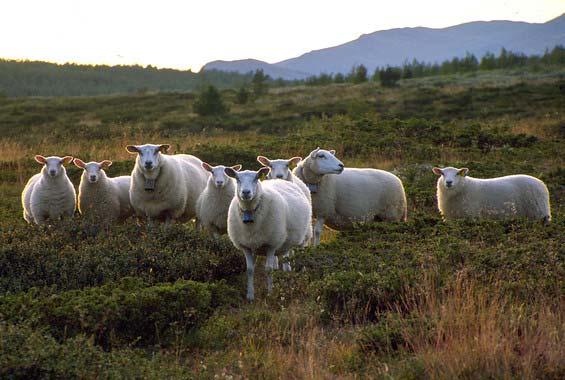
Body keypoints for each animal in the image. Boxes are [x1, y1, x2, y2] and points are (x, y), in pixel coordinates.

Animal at [225, 168, 312, 302]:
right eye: (237, 179)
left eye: (256, 178)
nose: (246, 192)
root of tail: (281, 180)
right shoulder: (246, 246)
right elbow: (250, 270)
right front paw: (250, 296)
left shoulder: (271, 244)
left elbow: (269, 269)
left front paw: (270, 293)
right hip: (284, 240)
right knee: (286, 257)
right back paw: (287, 272)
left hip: (304, 237)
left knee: (302, 256)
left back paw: (302, 274)